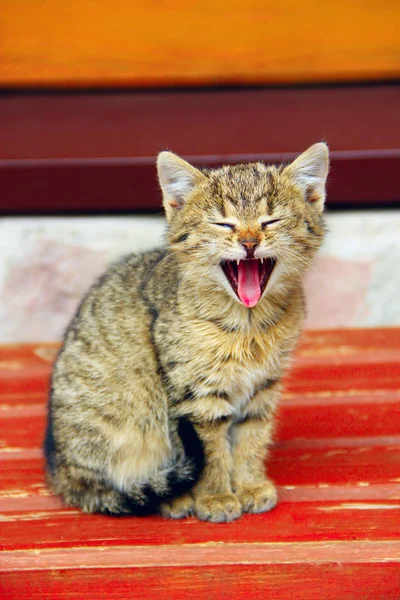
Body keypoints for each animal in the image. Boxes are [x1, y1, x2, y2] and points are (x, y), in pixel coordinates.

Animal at [45, 143, 330, 524]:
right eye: (224, 223)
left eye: (270, 221)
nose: (250, 242)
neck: (249, 325)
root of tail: (62, 471)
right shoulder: (196, 395)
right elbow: (211, 451)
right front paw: (216, 496)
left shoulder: (263, 387)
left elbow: (252, 438)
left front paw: (250, 484)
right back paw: (173, 497)